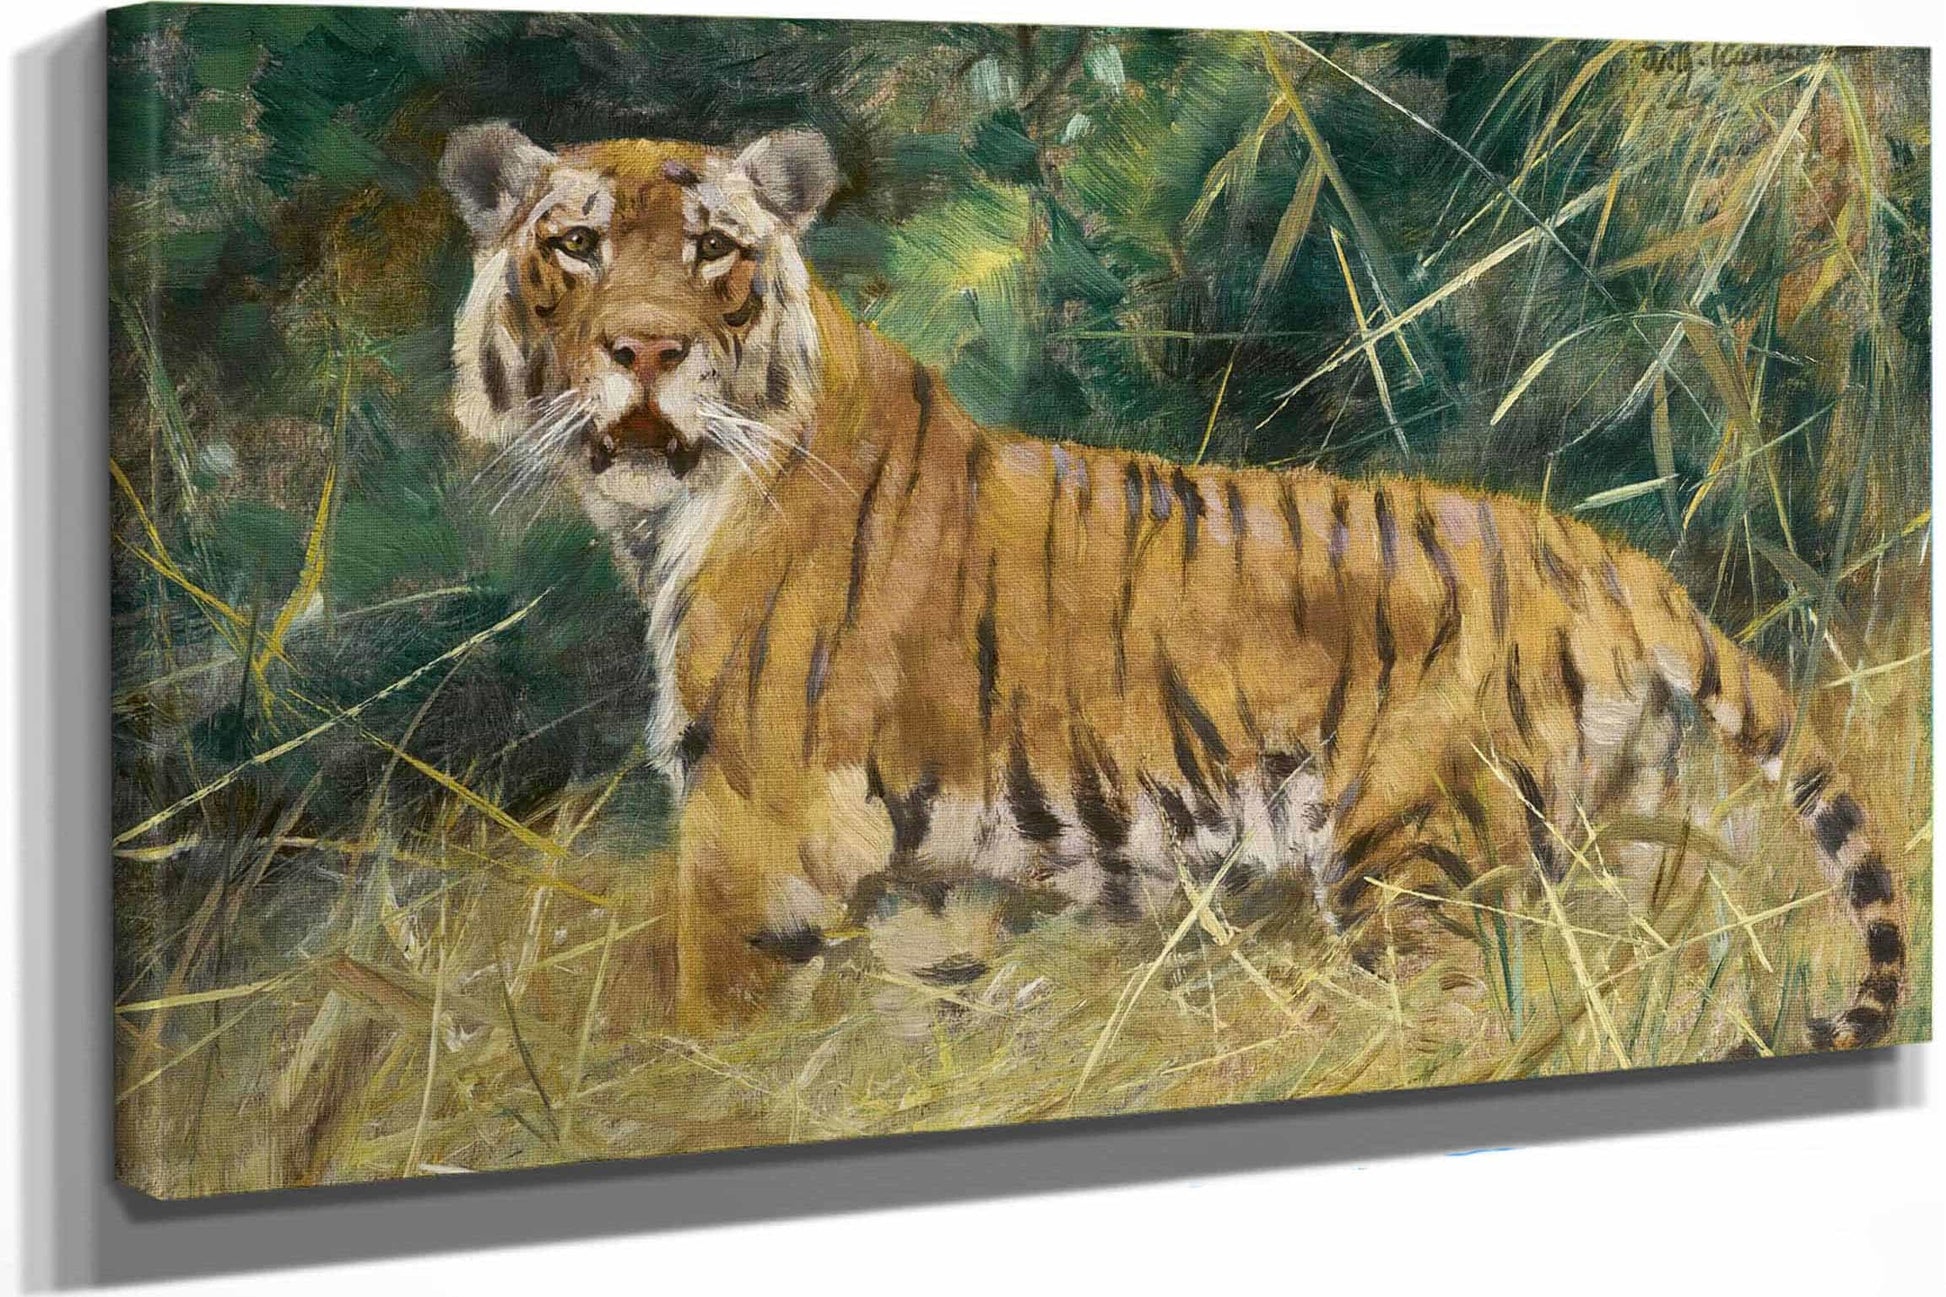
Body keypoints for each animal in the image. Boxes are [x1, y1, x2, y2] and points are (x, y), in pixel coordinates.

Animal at [438, 121, 1906, 1049]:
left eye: (712, 251)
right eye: (577, 246)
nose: (645, 350)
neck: (664, 512)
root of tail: (1611, 560)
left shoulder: (754, 830)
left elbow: (711, 1030)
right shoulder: (927, 882)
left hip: (1418, 862)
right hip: (1612, 846)